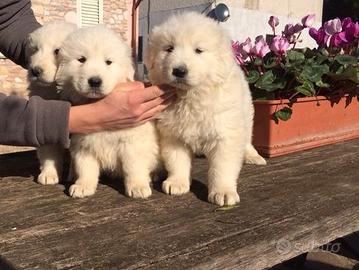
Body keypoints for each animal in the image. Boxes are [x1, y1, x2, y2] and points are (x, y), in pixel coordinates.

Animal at [27, 21, 77, 186]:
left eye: (57, 51)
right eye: (35, 49)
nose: (35, 71)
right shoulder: (48, 119)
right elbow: (49, 151)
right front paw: (49, 174)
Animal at [55, 25, 160, 198]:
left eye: (108, 62)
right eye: (81, 59)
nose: (95, 81)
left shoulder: (132, 143)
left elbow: (133, 167)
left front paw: (138, 186)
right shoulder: (83, 145)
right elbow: (85, 168)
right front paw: (83, 185)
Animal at [144, 12, 268, 207]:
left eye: (198, 50)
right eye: (169, 48)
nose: (179, 70)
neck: (191, 96)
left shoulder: (225, 134)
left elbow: (222, 167)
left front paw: (223, 192)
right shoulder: (173, 135)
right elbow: (177, 161)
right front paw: (177, 182)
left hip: (246, 114)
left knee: (247, 139)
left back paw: (253, 156)